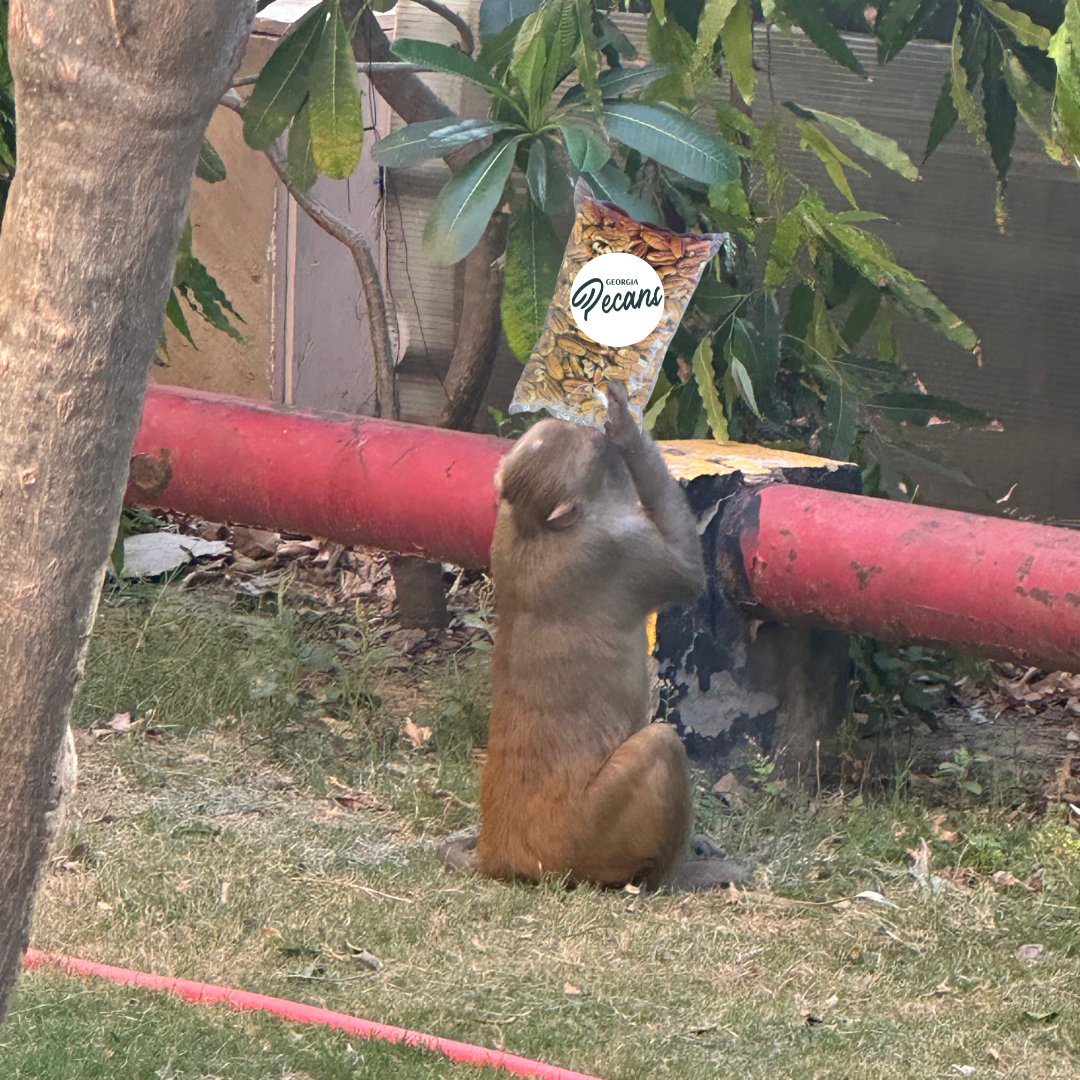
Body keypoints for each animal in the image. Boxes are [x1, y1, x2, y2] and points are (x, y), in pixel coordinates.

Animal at [440, 382, 743, 891]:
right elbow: (686, 574)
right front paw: (626, 429)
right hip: (591, 836)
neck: (535, 528)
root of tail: (499, 852)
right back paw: (678, 876)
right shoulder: (618, 547)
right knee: (661, 744)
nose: (593, 428)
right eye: (591, 450)